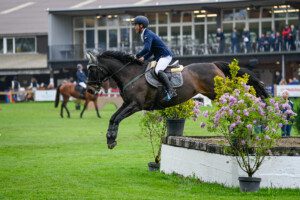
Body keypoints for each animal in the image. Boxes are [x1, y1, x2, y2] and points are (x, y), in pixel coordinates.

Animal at [85, 50, 268, 149]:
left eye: (92, 71)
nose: (89, 90)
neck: (131, 74)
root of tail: (213, 64)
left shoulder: (135, 105)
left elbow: (117, 118)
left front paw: (111, 138)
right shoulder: (127, 103)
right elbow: (113, 117)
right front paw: (110, 139)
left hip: (218, 92)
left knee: (236, 97)